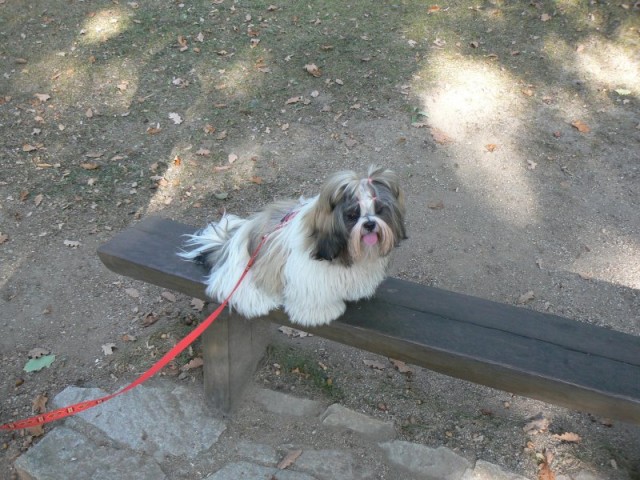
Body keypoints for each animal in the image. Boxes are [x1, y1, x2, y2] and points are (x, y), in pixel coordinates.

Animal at [179, 166, 406, 327]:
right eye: (352, 215)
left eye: (379, 210)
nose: (369, 224)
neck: (342, 253)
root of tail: (230, 241)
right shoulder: (308, 274)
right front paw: (320, 313)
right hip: (242, 271)